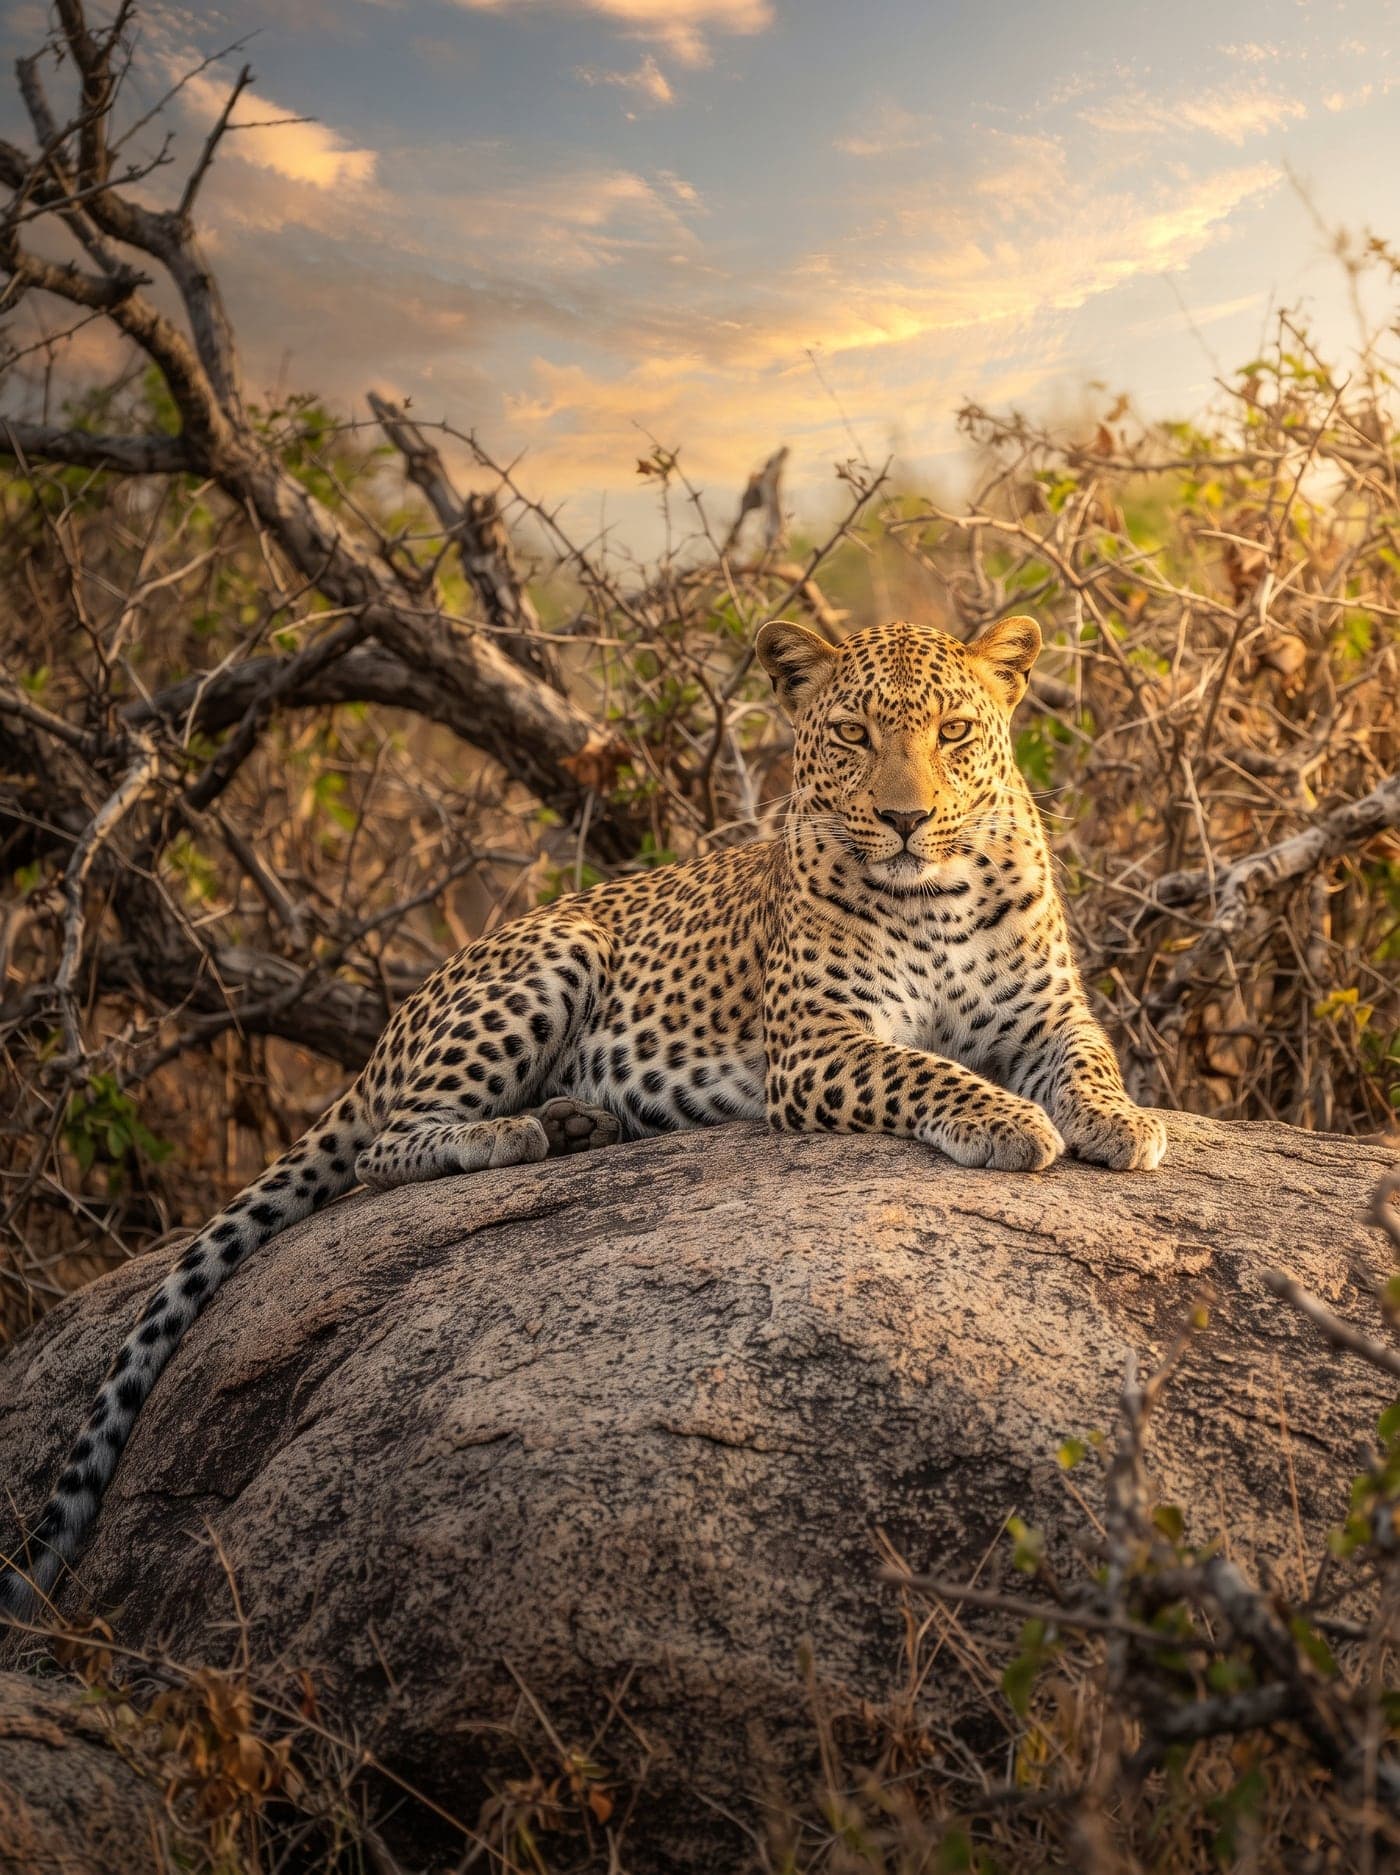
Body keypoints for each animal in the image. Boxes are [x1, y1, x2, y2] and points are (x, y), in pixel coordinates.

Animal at [0, 613, 1165, 1619]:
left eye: (954, 732)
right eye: (852, 734)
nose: (905, 818)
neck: (941, 895)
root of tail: (392, 1024)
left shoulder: (1048, 1012)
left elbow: (1091, 1063)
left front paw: (1125, 1123)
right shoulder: (816, 1045)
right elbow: (923, 1071)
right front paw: (1007, 1122)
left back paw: (576, 1126)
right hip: (551, 957)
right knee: (384, 1147)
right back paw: (520, 1134)